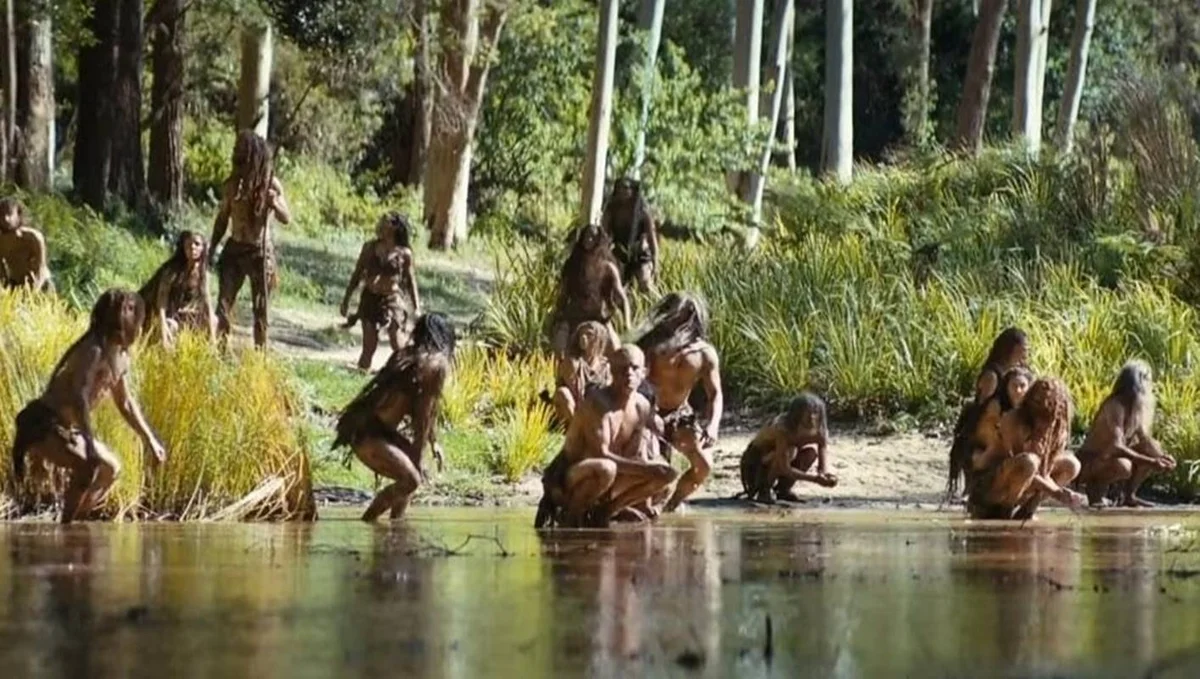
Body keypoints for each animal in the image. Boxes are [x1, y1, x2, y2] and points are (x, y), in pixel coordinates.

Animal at [966, 377, 1084, 520]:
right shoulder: (1010, 420)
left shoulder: (1062, 431)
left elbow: (1048, 471)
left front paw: (1064, 495)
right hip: (984, 490)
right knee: (1027, 461)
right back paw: (1003, 514)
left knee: (1071, 464)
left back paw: (1024, 515)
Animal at [1076, 360, 1177, 508]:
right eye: (1148, 377)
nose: (1152, 385)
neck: (1127, 398)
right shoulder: (1115, 409)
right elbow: (1117, 445)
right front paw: (1158, 462)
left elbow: (1144, 437)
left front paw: (1166, 458)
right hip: (1085, 471)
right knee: (1123, 464)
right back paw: (1096, 498)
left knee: (1145, 448)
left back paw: (1129, 499)